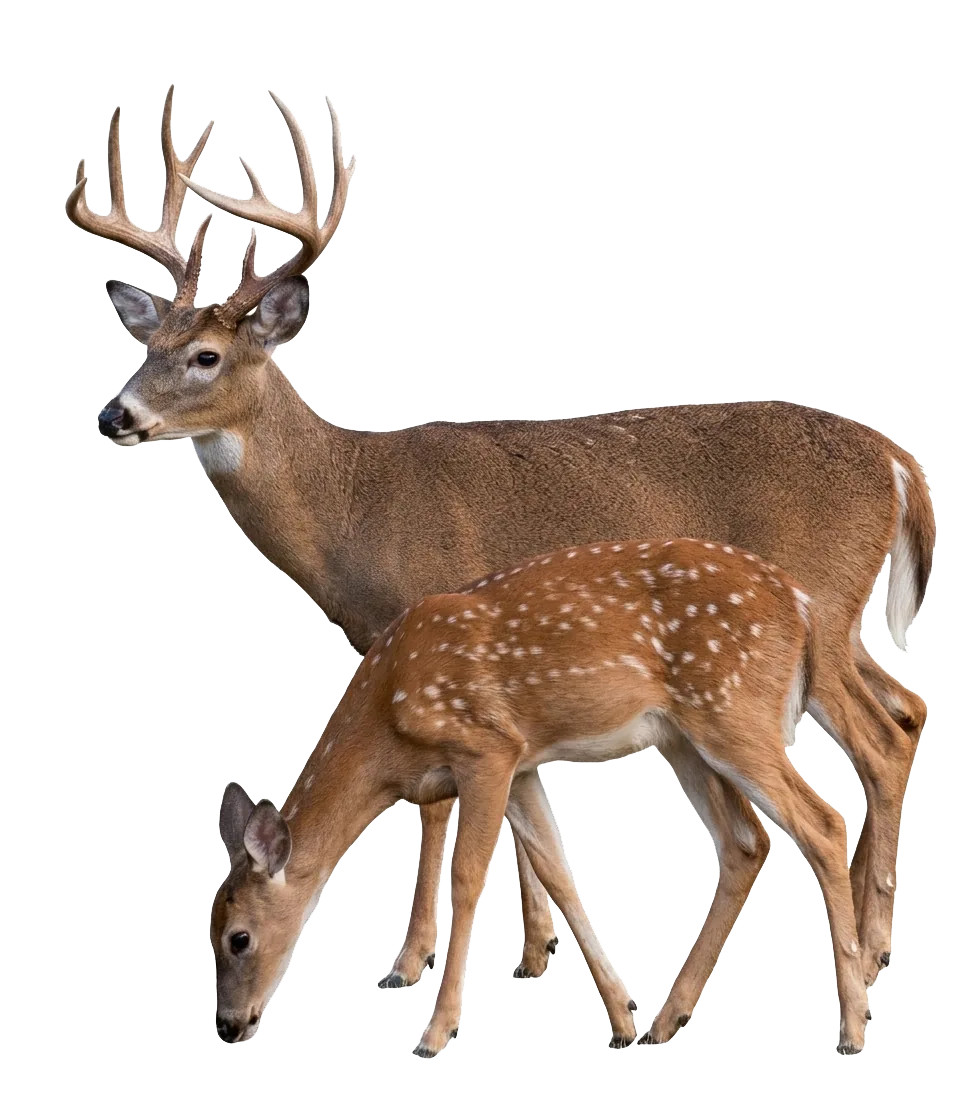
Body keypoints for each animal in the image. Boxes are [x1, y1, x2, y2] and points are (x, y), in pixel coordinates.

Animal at [67, 85, 934, 994]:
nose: (113, 414)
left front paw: (412, 959)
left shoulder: (428, 620)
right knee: (909, 711)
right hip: (836, 625)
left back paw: (873, 947)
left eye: (205, 356)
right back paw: (874, 934)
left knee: (879, 743)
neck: (355, 506)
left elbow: (438, 809)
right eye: (143, 345)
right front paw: (537, 947)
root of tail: (895, 458)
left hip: (820, 607)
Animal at [213, 537, 873, 1056]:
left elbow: (468, 875)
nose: (227, 1027)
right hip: (682, 734)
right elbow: (556, 868)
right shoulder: (524, 764)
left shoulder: (486, 747)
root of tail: (804, 607)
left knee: (823, 823)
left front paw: (437, 1032)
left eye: (237, 938)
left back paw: (853, 1026)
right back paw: (666, 1019)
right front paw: (621, 1014)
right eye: (209, 925)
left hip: (734, 710)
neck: (387, 719)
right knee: (747, 841)